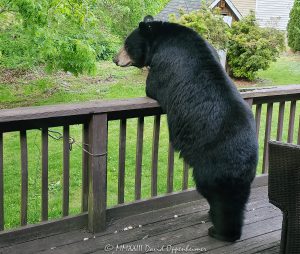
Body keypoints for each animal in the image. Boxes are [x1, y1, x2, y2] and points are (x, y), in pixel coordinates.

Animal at [113, 15, 258, 242]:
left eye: (127, 45)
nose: (114, 58)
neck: (162, 39)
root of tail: (244, 158)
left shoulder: (164, 64)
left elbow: (151, 85)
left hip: (213, 165)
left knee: (219, 197)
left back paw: (219, 231)